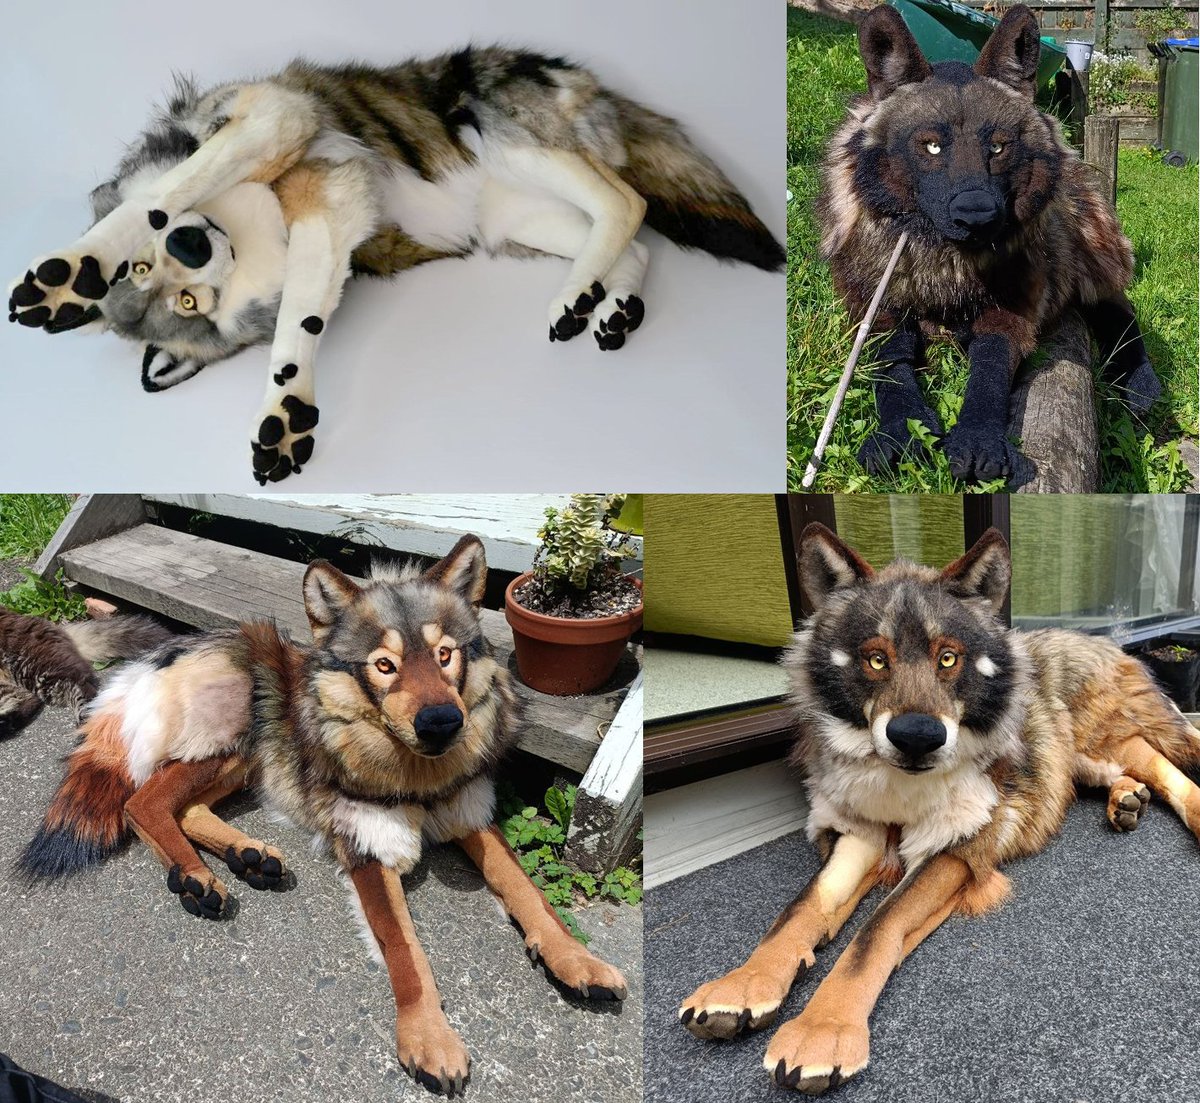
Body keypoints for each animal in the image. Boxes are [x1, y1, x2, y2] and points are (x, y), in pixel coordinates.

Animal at [7, 47, 783, 485]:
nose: (191, 252)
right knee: (633, 235)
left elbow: (162, 195)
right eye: (188, 305)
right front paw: (287, 411)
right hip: (515, 221)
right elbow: (301, 321)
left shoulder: (277, 130)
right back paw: (599, 303)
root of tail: (596, 86)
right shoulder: (335, 219)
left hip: (502, 137)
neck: (248, 224)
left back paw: (582, 295)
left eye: (148, 277)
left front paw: (68, 278)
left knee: (627, 201)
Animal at [18, 536, 627, 1096]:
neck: (415, 772)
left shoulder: (471, 815)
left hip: (248, 758)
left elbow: (530, 894)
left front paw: (578, 961)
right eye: (384, 665)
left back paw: (248, 856)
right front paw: (429, 1038)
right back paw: (195, 877)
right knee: (142, 801)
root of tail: (149, 663)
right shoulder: (367, 846)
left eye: (446, 654)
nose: (441, 723)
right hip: (237, 727)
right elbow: (406, 953)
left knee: (182, 805)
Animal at [678, 524, 1200, 1094]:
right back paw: (1125, 800)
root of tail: (1099, 639)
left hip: (1103, 738)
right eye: (875, 658)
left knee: (1162, 765)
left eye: (947, 658)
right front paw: (744, 984)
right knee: (1119, 775)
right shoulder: (858, 833)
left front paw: (824, 1029)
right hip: (1076, 761)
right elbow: (798, 912)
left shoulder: (954, 850)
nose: (916, 738)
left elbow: (872, 933)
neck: (904, 789)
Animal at [818, 5, 1161, 483]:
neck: (944, 264)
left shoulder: (1011, 313)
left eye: (998, 147)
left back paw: (1141, 385)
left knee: (1115, 306)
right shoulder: (873, 309)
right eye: (931, 146)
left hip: (1092, 248)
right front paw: (900, 430)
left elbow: (990, 368)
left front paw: (978, 436)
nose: (976, 217)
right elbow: (890, 366)